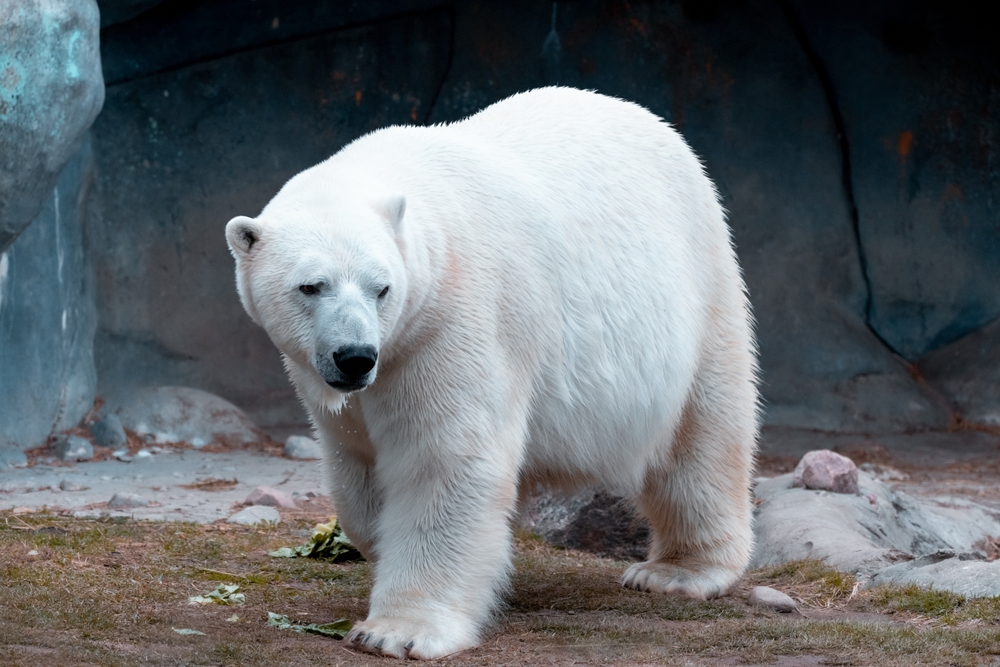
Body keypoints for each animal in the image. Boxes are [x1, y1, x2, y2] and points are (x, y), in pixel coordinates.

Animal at [225, 87, 758, 659]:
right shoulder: (351, 378)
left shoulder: (454, 319)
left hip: (700, 282)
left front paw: (397, 631)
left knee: (702, 432)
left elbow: (445, 460)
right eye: (310, 286)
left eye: (380, 287)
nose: (355, 356)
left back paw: (678, 571)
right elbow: (358, 465)